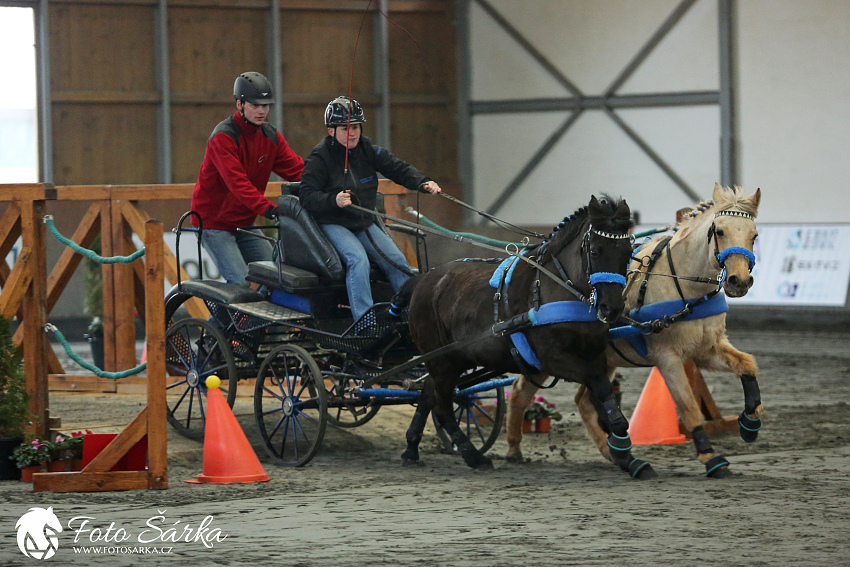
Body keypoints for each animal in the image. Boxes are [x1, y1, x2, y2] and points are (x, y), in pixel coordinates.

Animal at [398, 195, 656, 480]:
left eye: (627, 252)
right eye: (595, 251)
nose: (612, 308)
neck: (559, 289)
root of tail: (424, 280)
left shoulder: (594, 354)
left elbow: (602, 393)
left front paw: (627, 458)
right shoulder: (553, 359)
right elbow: (598, 385)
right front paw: (621, 443)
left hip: (452, 359)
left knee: (427, 394)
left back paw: (411, 449)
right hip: (442, 361)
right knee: (442, 406)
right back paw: (474, 456)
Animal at [504, 184, 760, 478]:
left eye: (754, 235)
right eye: (719, 231)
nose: (739, 281)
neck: (685, 285)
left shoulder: (707, 349)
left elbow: (747, 364)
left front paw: (750, 423)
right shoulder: (668, 358)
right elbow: (688, 406)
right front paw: (710, 457)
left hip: (600, 360)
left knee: (584, 401)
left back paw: (616, 455)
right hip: (546, 357)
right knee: (521, 392)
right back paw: (513, 449)